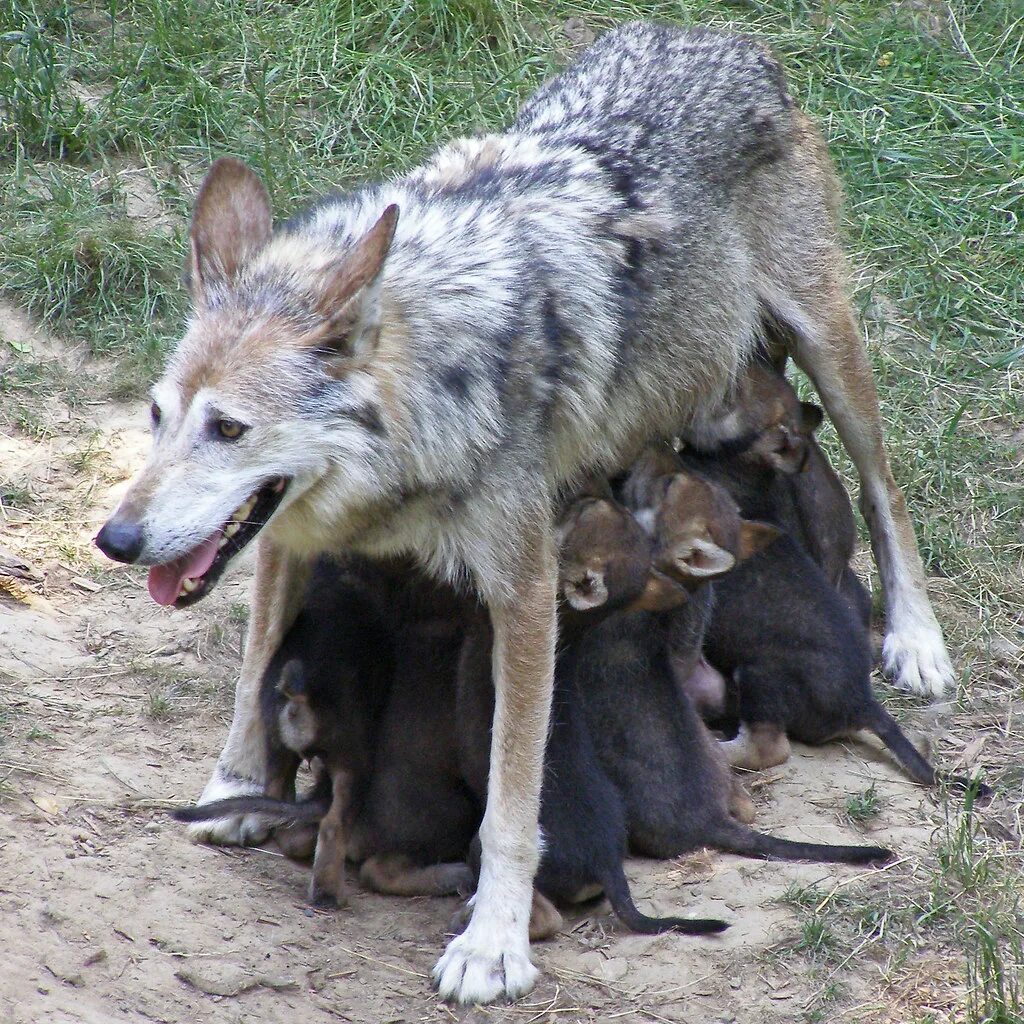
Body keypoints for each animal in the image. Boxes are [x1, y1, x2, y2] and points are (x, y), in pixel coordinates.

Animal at [96, 19, 950, 1003]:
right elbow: (251, 671)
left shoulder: (527, 589)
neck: (436, 393)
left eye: (228, 428)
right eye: (157, 416)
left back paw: (917, 641)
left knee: (887, 491)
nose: (115, 539)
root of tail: (717, 35)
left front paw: (494, 942)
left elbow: (512, 795)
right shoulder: (285, 538)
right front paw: (232, 790)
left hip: (830, 347)